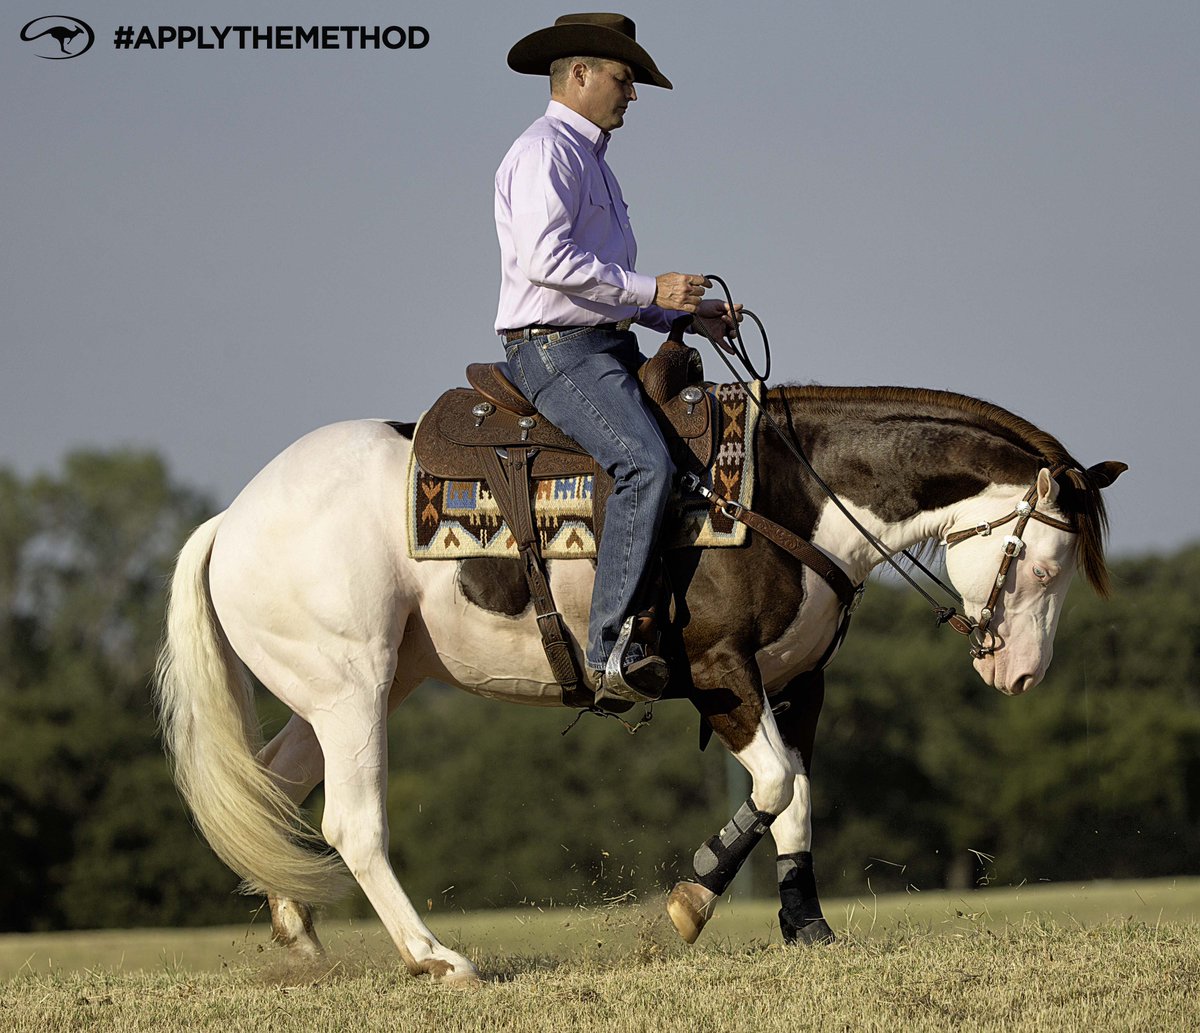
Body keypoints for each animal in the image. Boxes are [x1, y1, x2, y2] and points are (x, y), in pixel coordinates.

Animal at [152, 381, 1123, 983]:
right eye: (1046, 562)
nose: (1020, 672)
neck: (782, 494)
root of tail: (229, 518)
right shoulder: (720, 673)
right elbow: (774, 784)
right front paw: (692, 899)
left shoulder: (798, 681)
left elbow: (798, 797)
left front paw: (806, 925)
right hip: (353, 689)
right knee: (352, 825)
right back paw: (437, 957)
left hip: (345, 693)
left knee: (275, 790)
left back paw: (299, 932)